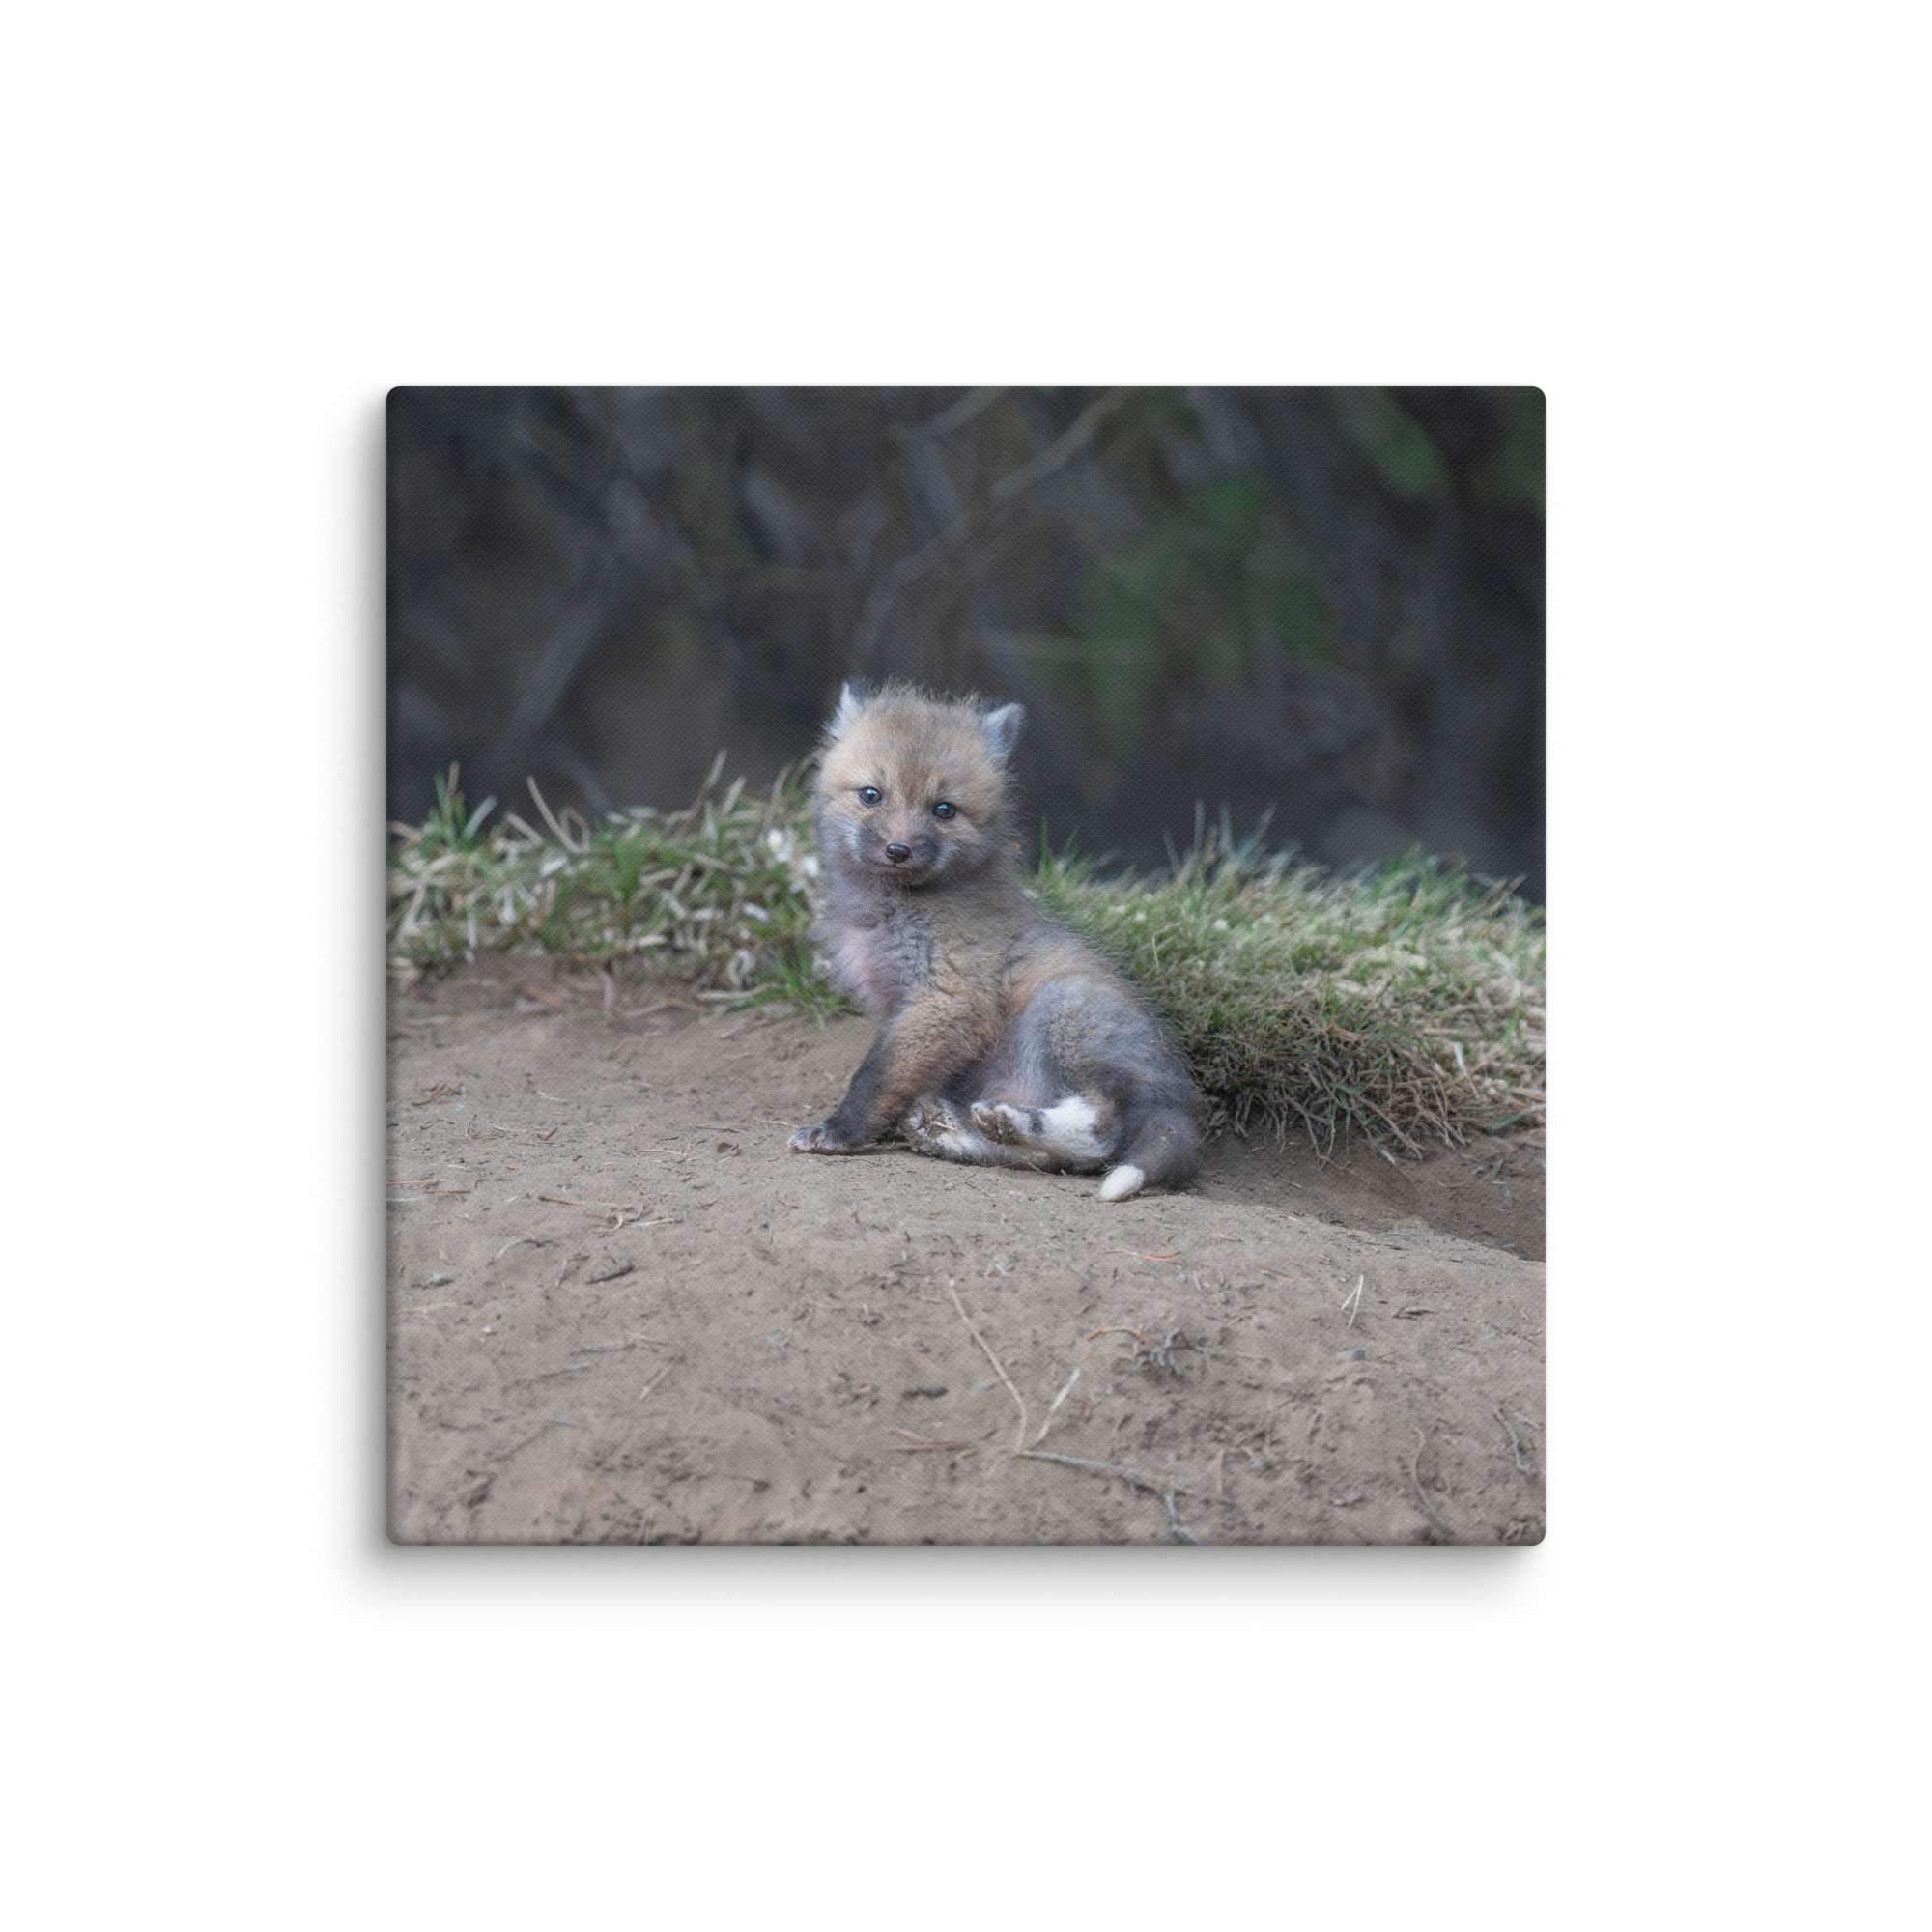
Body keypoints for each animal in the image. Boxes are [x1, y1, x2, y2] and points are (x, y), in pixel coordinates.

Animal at [786, 681, 1201, 1201]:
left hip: (1063, 1008)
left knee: (1101, 1133)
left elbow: (876, 1076)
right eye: (871, 795)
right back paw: (958, 1133)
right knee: (1054, 1160)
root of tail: (1179, 1099)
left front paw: (840, 1131)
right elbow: (894, 1076)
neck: (892, 910)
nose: (898, 850)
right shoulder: (903, 1009)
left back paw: (1010, 1121)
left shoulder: (949, 998)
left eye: (944, 809)